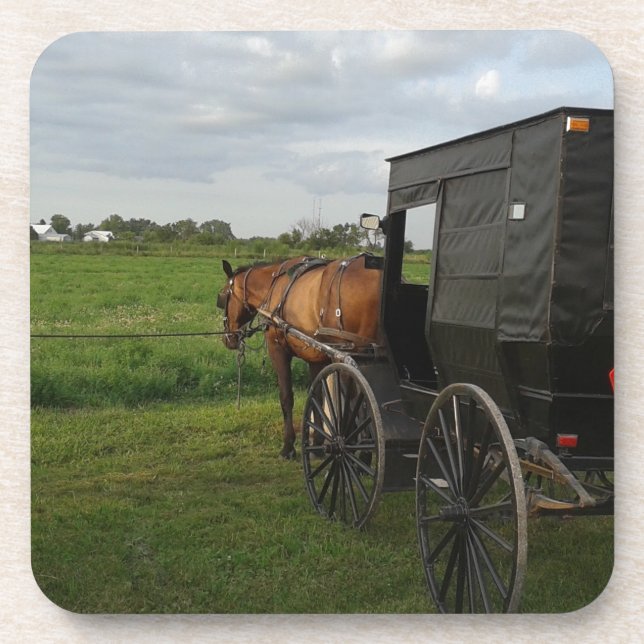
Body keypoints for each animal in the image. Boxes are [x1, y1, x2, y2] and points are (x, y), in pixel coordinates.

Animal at [217, 253, 383, 459]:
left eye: (223, 296)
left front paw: (288, 446)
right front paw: (316, 443)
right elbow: (317, 395)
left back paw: (361, 452)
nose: (228, 339)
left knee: (358, 401)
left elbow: (286, 397)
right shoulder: (316, 358)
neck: (273, 285)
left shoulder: (278, 350)